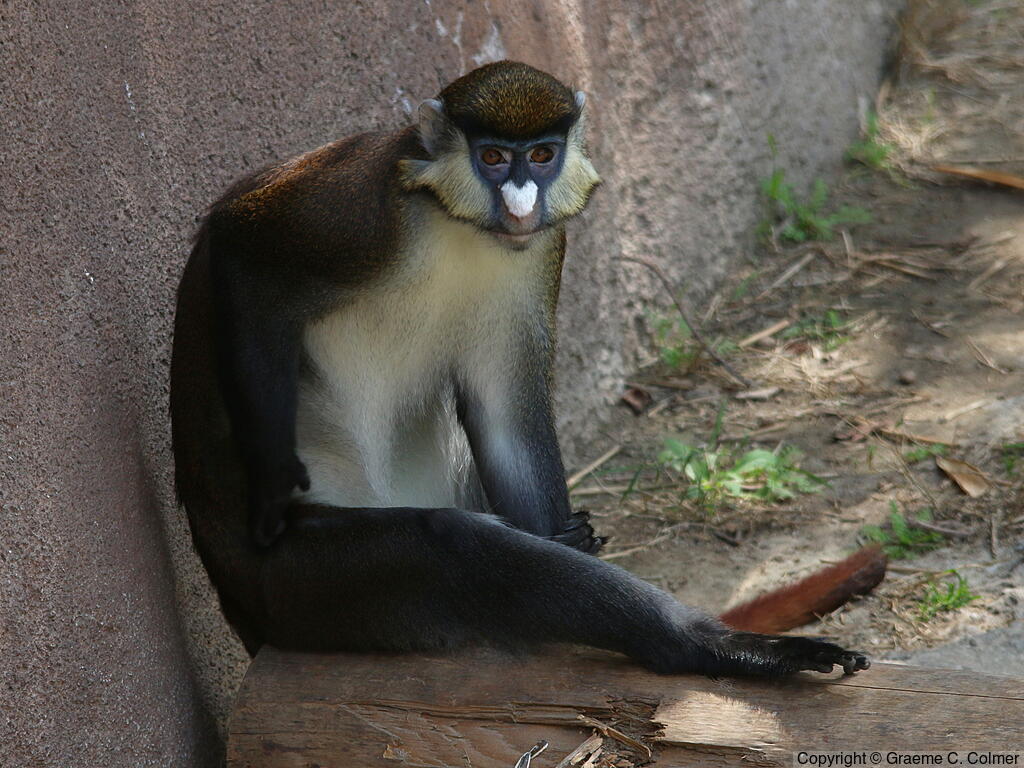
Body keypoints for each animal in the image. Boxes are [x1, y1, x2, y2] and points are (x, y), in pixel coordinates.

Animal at [170, 60, 870, 677]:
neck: (458, 227)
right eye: (492, 158)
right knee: (451, 546)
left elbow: (506, 417)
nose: (521, 202)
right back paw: (704, 646)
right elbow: (238, 248)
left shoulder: (540, 254)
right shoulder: (353, 206)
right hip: (299, 591)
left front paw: (567, 534)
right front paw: (270, 486)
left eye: (540, 156)